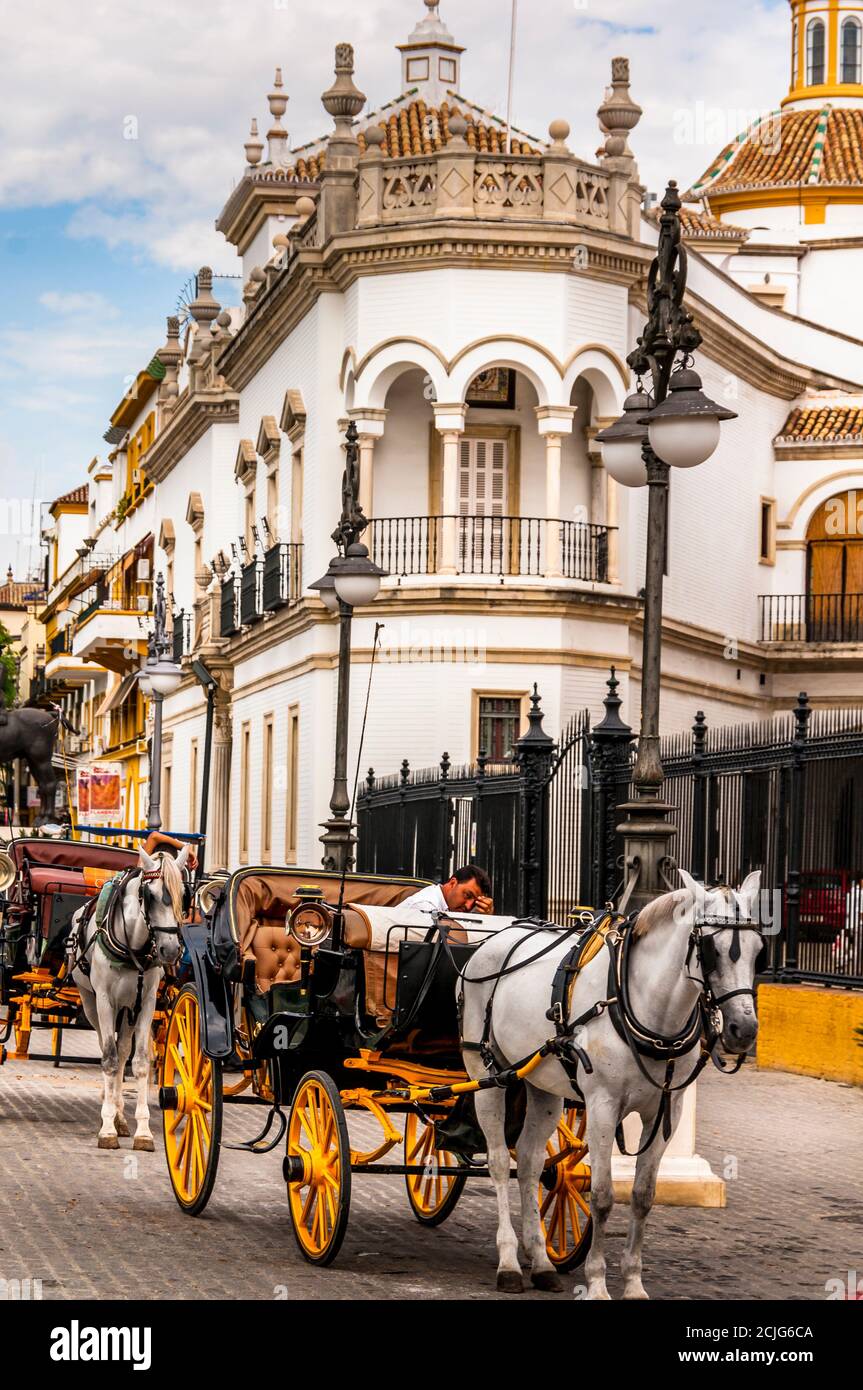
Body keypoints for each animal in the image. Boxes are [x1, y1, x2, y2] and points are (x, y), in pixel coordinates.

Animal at [69, 845, 186, 1150]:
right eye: (150, 895)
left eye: (183, 893)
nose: (170, 950)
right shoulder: (105, 1001)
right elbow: (108, 1060)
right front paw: (107, 1128)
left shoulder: (145, 1004)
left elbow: (140, 1062)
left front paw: (142, 1131)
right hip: (91, 1003)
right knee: (107, 1049)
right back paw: (109, 1112)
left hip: (127, 1009)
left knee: (122, 1053)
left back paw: (121, 1116)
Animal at [458, 861, 761, 1295]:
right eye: (711, 950)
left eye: (758, 951)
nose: (743, 1030)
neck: (644, 1007)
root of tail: (491, 941)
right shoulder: (602, 1106)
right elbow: (601, 1196)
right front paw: (598, 1284)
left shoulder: (666, 1111)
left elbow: (643, 1195)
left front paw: (633, 1283)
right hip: (488, 1074)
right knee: (500, 1161)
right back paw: (509, 1263)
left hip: (543, 1084)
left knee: (530, 1162)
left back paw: (541, 1261)